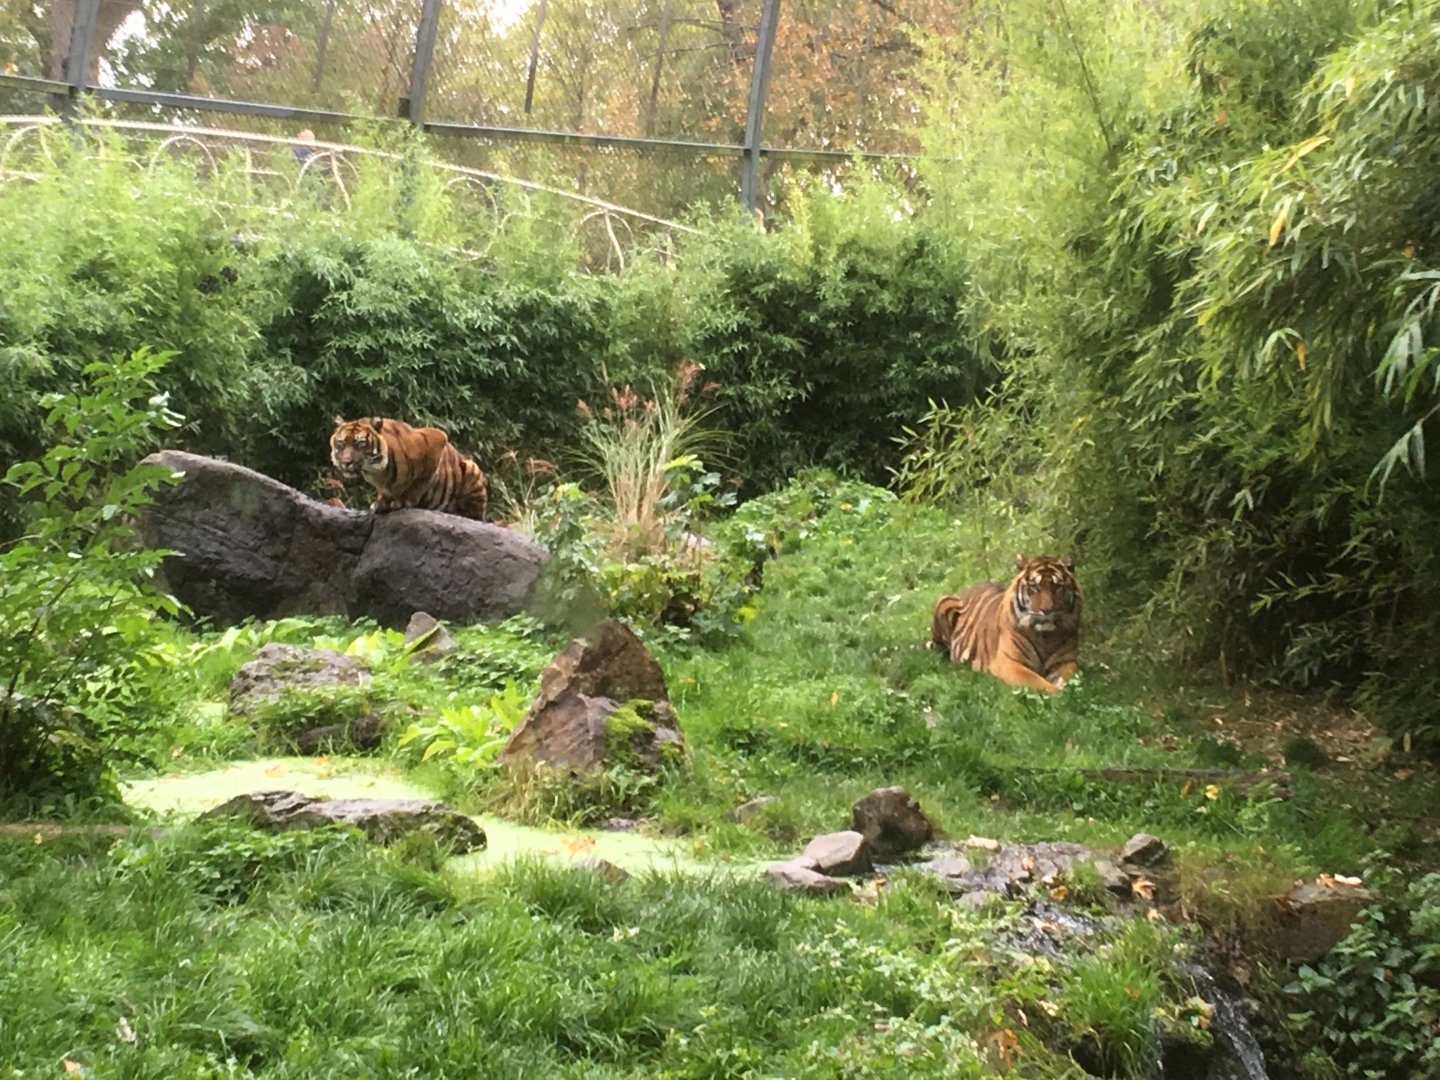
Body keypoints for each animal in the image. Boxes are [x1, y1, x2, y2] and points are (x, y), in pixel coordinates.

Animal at [329, 415, 488, 521]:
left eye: (360, 444)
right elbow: (384, 492)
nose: (346, 462)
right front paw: (380, 503)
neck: (378, 470)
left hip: (472, 468)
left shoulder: (437, 438)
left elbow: (420, 481)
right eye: (342, 443)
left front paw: (404, 501)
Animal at [930, 554, 1081, 693]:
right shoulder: (1009, 663)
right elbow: (1039, 682)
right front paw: (1058, 693)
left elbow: (1067, 677)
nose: (1046, 610)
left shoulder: (1067, 661)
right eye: (1034, 587)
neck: (1045, 637)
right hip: (944, 601)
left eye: (1058, 587)